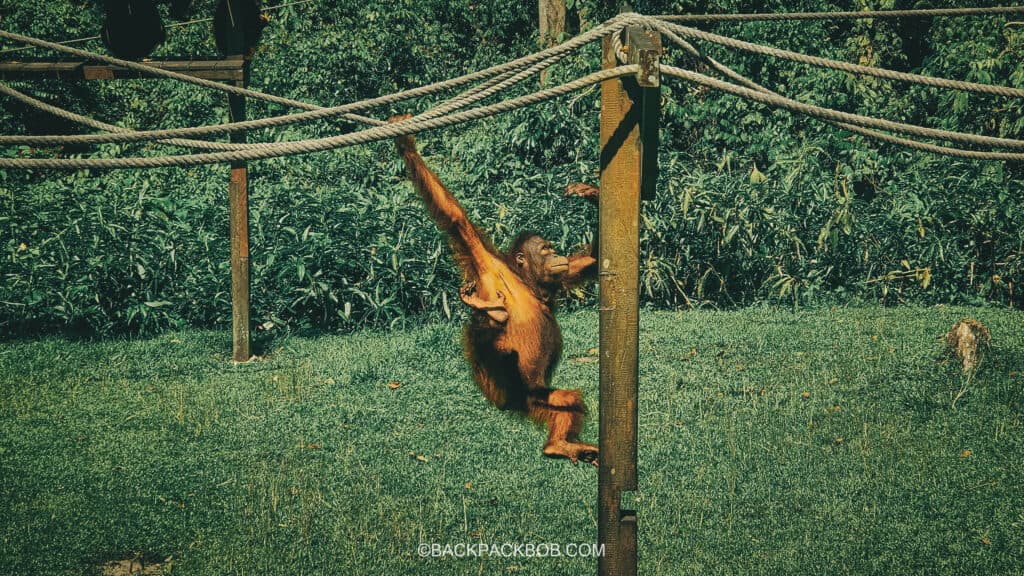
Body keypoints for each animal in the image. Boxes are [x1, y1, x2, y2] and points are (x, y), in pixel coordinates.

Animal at [390, 115, 600, 465]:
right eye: (545, 250)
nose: (556, 254)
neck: (524, 280)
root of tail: (514, 403)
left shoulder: (562, 274)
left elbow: (589, 262)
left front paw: (592, 193)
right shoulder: (487, 263)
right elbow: (456, 220)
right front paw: (407, 145)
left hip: (537, 398)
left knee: (567, 399)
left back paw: (559, 445)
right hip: (498, 383)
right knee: (489, 342)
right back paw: (490, 313)